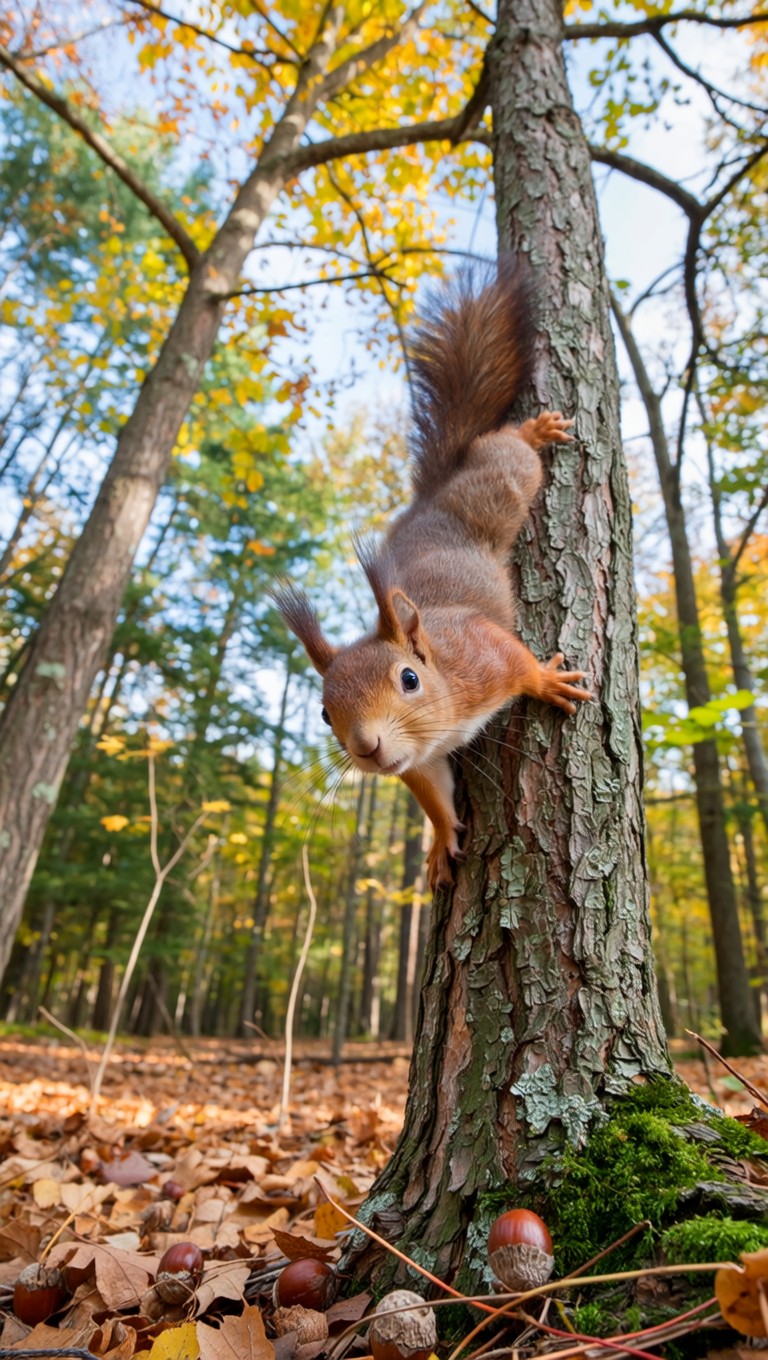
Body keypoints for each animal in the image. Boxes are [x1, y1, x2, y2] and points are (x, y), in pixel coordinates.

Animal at [274, 261, 592, 890]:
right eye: (324, 713)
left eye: (409, 679)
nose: (367, 747)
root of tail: (433, 494)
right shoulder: (418, 762)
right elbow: (433, 795)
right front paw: (443, 839)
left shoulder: (482, 653)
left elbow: (518, 663)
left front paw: (547, 682)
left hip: (498, 490)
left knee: (506, 454)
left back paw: (533, 433)